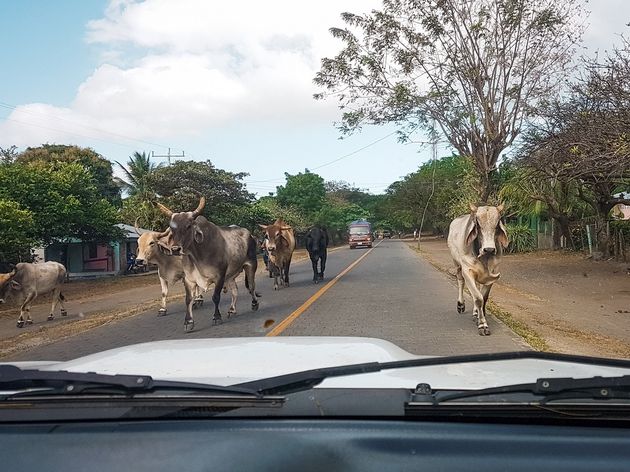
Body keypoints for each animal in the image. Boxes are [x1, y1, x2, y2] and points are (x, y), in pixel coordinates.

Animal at [446, 204, 512, 336]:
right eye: (478, 225)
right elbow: (478, 298)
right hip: (457, 264)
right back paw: (460, 305)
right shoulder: (467, 271)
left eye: (496, 225)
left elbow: (483, 297)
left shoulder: (491, 275)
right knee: (460, 282)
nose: (489, 249)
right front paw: (482, 325)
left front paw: (479, 315)